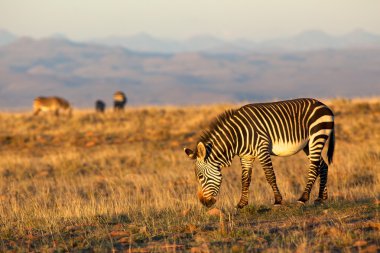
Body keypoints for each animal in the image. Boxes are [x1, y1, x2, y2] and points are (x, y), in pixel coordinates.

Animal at [186, 98, 334, 209]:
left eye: (200, 177)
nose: (204, 203)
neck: (237, 137)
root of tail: (325, 106)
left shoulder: (262, 149)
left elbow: (270, 175)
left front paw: (278, 201)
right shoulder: (246, 156)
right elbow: (245, 179)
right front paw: (241, 204)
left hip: (317, 136)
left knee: (314, 167)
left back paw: (303, 198)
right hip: (308, 144)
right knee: (322, 165)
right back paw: (321, 198)